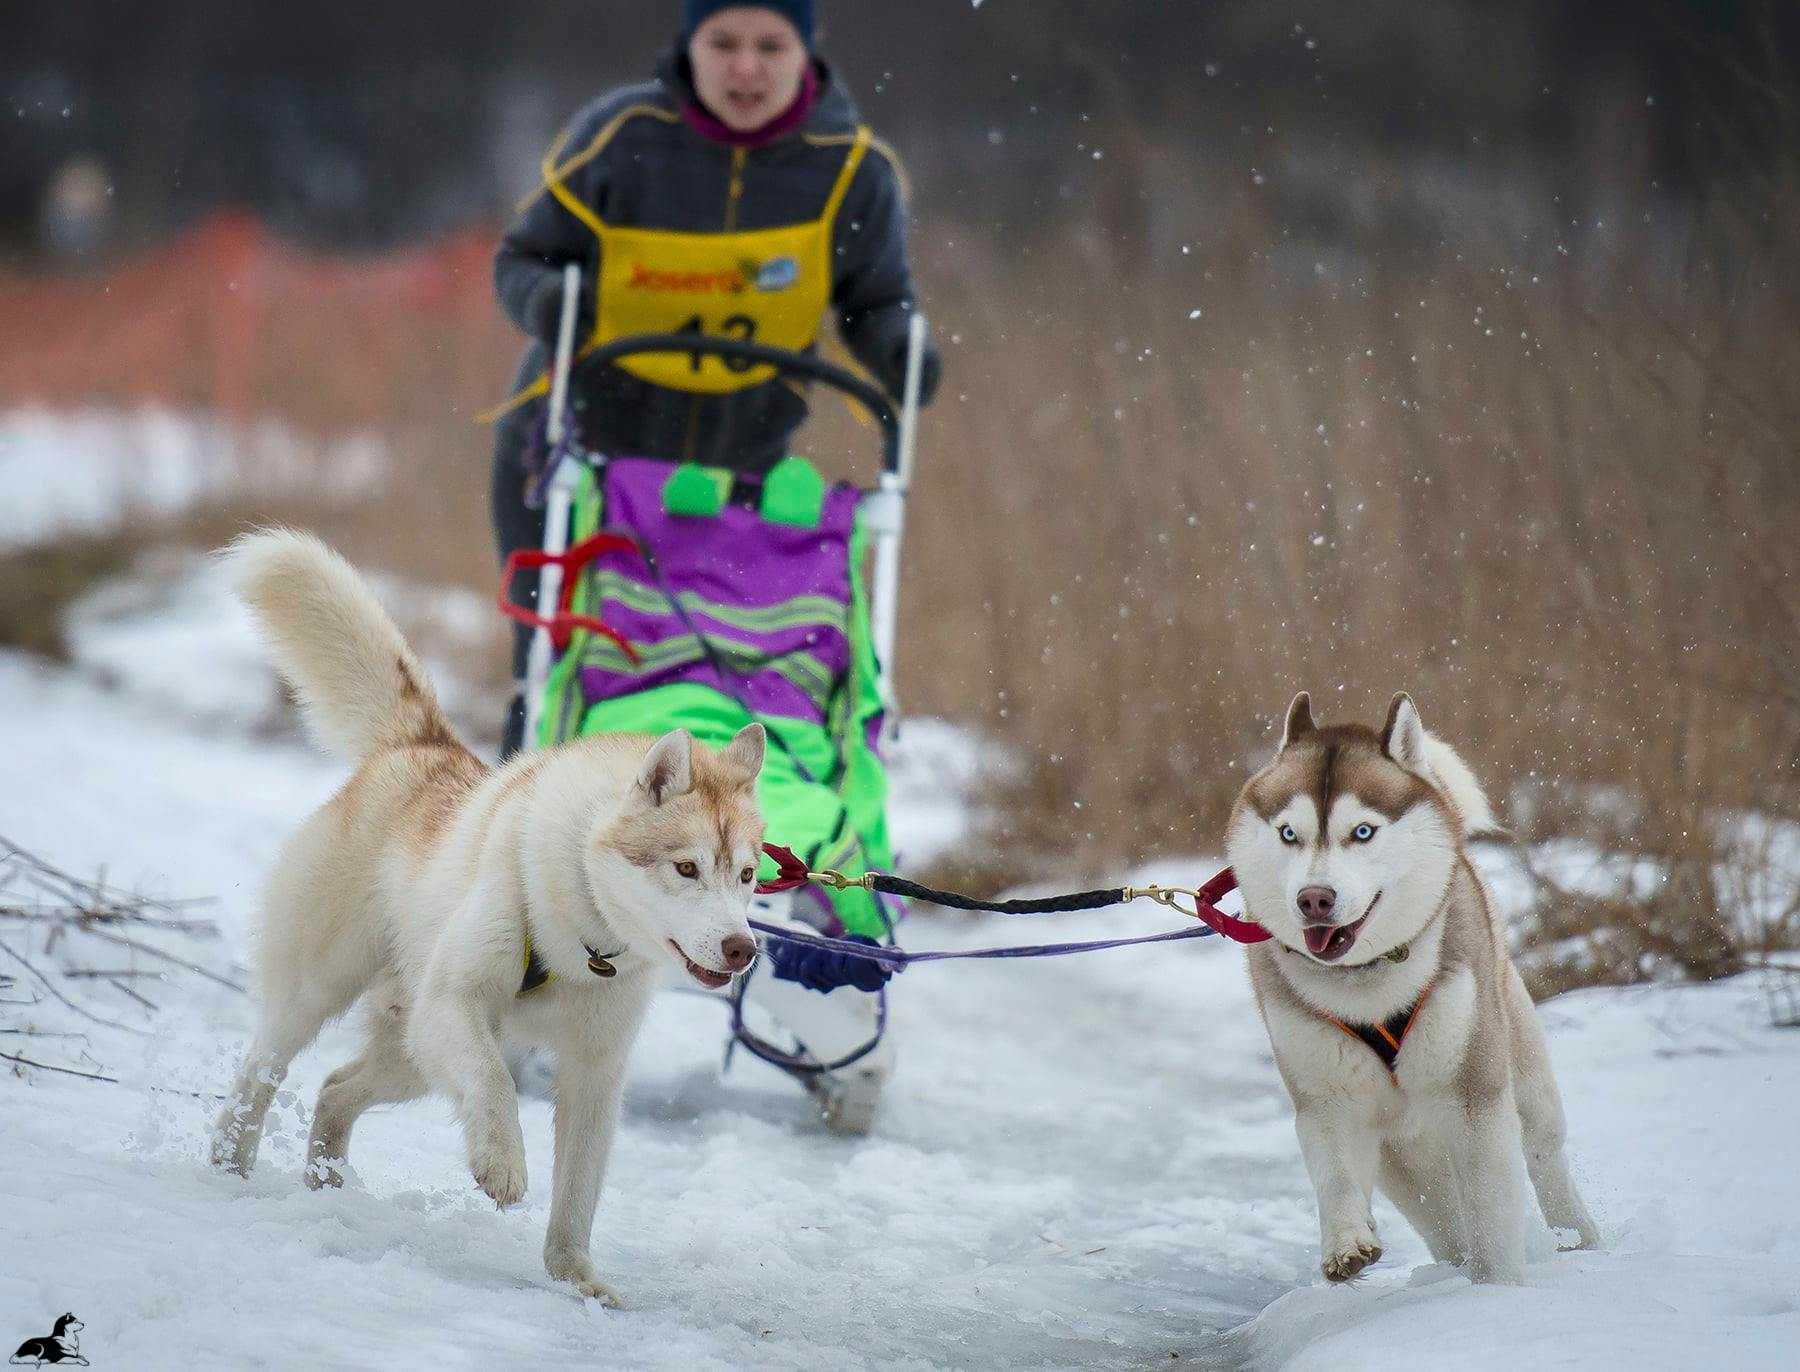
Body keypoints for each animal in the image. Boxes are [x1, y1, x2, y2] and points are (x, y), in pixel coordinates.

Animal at [206, 529, 766, 1296]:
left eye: (747, 874)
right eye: (686, 869)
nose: (744, 949)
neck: (584, 941)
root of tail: (422, 747)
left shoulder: (596, 1069)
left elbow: (580, 1189)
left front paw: (575, 1277)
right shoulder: (456, 1006)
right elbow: (496, 1088)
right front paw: (502, 1163)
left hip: (411, 1052)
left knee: (335, 1087)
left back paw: (325, 1179)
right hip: (329, 996)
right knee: (262, 1071)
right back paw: (229, 1162)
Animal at [1231, 695, 1598, 1281]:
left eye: (1362, 832)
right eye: (1289, 833)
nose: (1314, 898)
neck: (1369, 982)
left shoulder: (1472, 1092)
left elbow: (1492, 1204)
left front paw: (1499, 1286)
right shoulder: (1326, 1098)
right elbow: (1336, 1175)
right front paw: (1346, 1244)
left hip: (1521, 1067)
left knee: (1543, 1154)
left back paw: (1580, 1240)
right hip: (1403, 1153)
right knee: (1441, 1214)